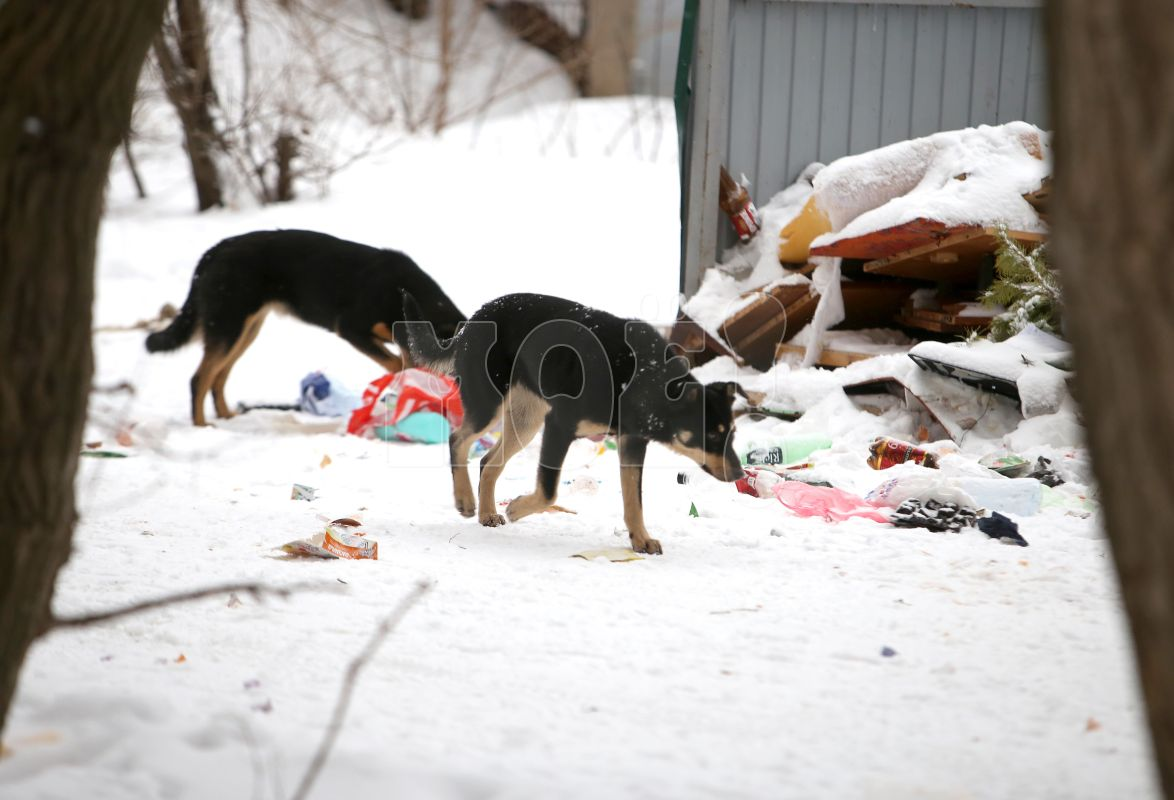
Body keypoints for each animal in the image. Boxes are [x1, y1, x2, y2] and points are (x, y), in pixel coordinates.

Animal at [151, 227, 467, 427]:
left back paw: (227, 416)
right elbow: (396, 364)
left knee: (218, 377)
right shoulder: (351, 329)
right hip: (229, 324)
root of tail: (215, 251)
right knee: (200, 378)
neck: (402, 292)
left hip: (245, 329)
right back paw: (202, 426)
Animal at [403, 290, 741, 552]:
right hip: (490, 405)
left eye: (732, 434)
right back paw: (465, 500)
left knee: (487, 461)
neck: (641, 375)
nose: (739, 473)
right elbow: (548, 490)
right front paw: (516, 508)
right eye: (712, 435)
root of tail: (471, 323)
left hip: (526, 421)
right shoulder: (559, 427)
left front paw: (641, 539)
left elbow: (634, 499)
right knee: (457, 439)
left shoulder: (631, 441)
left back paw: (487, 513)